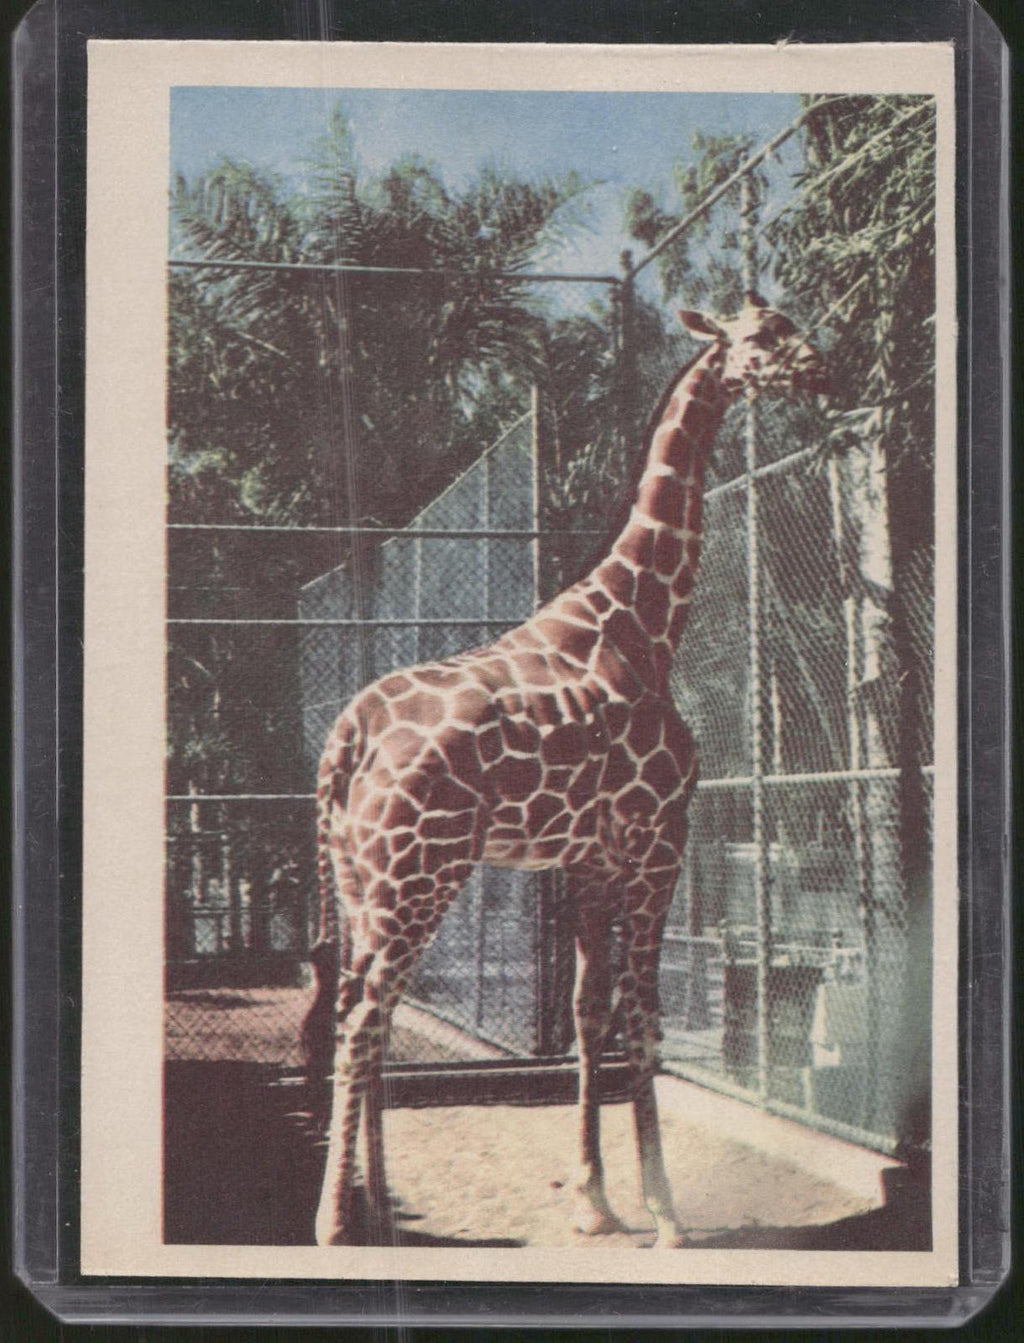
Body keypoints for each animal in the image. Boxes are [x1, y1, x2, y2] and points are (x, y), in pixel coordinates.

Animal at [304, 292, 829, 1247]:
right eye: (764, 335)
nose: (824, 368)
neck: (646, 621)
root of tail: (345, 738)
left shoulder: (587, 858)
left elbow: (588, 1015)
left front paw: (594, 1200)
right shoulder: (660, 840)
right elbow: (641, 1018)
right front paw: (666, 1215)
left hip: (362, 881)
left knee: (361, 1009)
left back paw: (379, 1207)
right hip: (420, 874)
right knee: (362, 1017)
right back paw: (333, 1221)